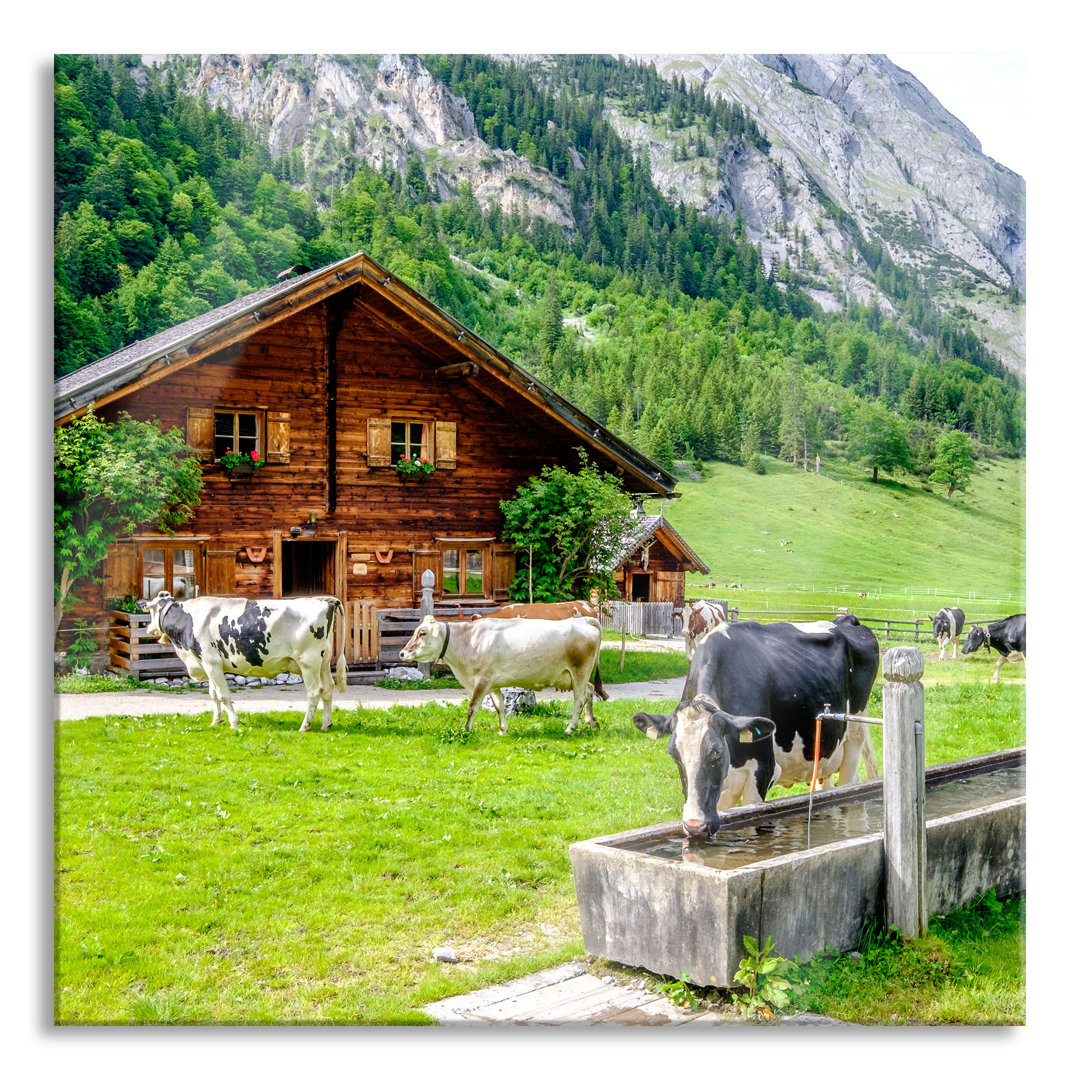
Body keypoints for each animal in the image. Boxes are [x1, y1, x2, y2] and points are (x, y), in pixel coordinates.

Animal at [146, 591, 345, 734]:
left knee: (315, 691)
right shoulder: (208, 663)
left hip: (308, 662)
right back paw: (326, 724)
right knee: (328, 688)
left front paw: (234, 723)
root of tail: (326, 601)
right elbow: (213, 694)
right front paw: (216, 721)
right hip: (324, 662)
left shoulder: (211, 661)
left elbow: (223, 695)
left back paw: (305, 726)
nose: (148, 628)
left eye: (151, 610)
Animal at [399, 617, 604, 734]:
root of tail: (584, 620)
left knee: (579, 699)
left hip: (579, 672)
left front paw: (466, 730)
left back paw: (570, 728)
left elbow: (472, 706)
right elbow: (499, 706)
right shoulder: (493, 683)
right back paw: (591, 721)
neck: (468, 640)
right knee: (589, 691)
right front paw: (502, 730)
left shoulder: (482, 680)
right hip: (576, 676)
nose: (402, 653)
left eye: (422, 633)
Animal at [630, 617, 876, 833]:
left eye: (717, 752)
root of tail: (847, 620)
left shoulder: (763, 770)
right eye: (673, 754)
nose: (694, 825)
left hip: (855, 735)